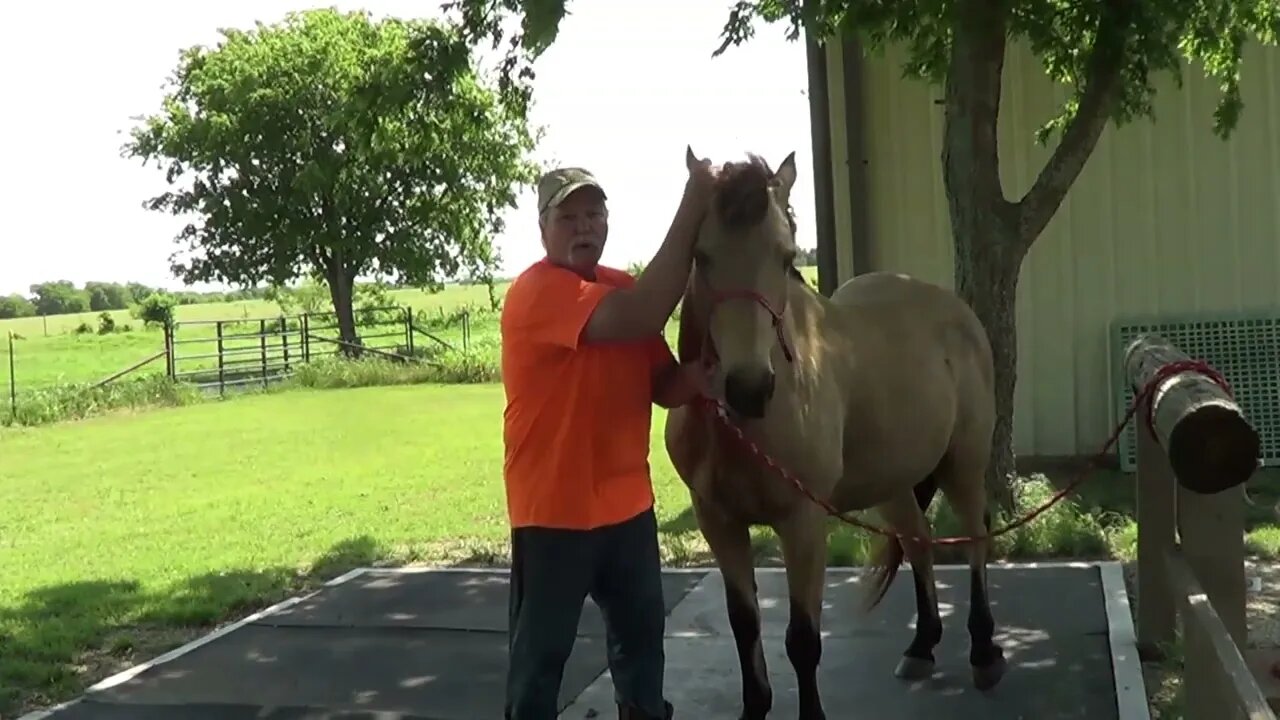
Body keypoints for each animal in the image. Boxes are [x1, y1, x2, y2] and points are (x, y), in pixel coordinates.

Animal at [665, 147, 1003, 717]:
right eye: (701, 255)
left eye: (786, 257)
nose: (749, 388)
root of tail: (953, 310)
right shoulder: (719, 523)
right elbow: (744, 624)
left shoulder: (802, 522)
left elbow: (803, 639)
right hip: (893, 483)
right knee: (919, 543)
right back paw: (922, 645)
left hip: (965, 464)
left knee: (975, 539)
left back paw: (983, 651)